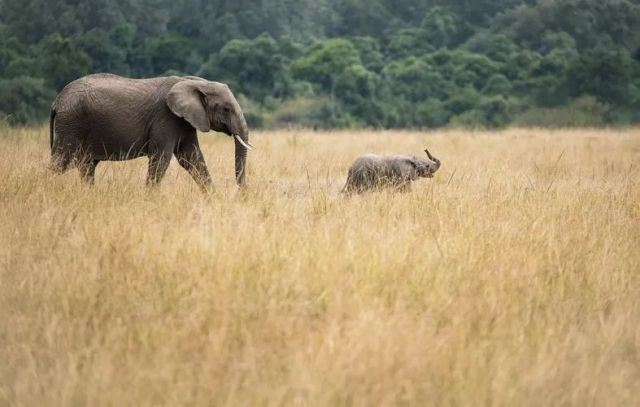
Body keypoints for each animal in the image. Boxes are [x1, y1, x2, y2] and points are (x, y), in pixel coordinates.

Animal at [49, 73, 252, 191]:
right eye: (226, 109)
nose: (241, 194)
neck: (196, 82)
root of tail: (57, 101)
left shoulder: (184, 120)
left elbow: (191, 158)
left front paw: (212, 197)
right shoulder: (165, 117)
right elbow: (161, 158)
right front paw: (149, 198)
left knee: (86, 165)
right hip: (71, 123)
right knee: (61, 162)